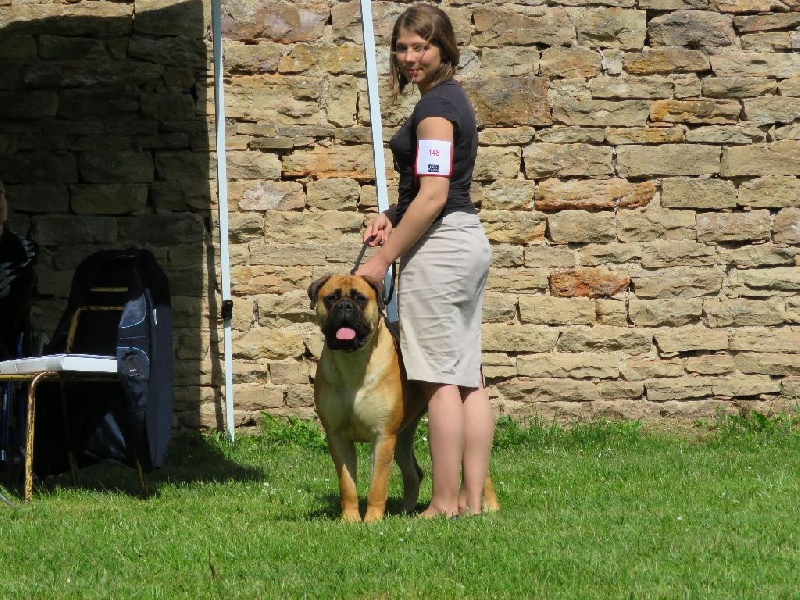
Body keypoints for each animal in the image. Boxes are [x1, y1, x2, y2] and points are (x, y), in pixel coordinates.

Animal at [308, 274, 499, 522]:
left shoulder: (382, 437)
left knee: (480, 471)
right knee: (414, 472)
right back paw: (405, 510)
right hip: (402, 438)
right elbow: (347, 484)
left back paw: (490, 507)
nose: (344, 307)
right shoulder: (337, 437)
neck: (353, 363)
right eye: (331, 298)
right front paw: (349, 520)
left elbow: (377, 485)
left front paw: (372, 520)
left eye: (360, 299)